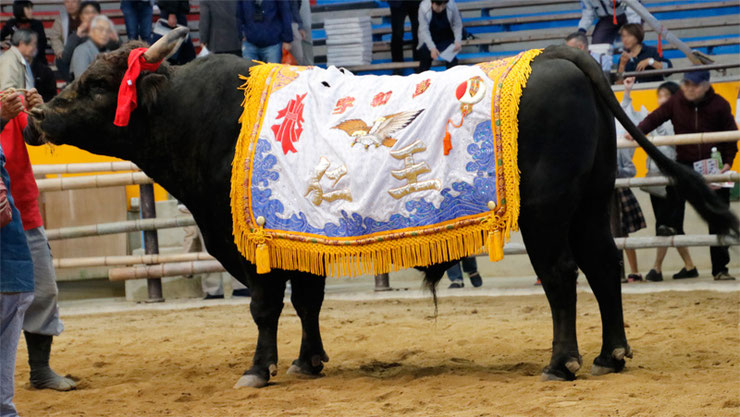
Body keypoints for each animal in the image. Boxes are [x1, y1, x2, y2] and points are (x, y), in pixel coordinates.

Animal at [24, 39, 740, 386]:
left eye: (95, 84)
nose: (37, 114)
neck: (198, 113)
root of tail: (560, 55)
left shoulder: (251, 245)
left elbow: (265, 306)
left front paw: (259, 369)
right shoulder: (297, 237)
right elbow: (307, 301)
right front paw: (309, 361)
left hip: (544, 211)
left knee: (563, 276)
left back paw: (561, 362)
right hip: (590, 202)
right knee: (603, 267)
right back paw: (611, 354)